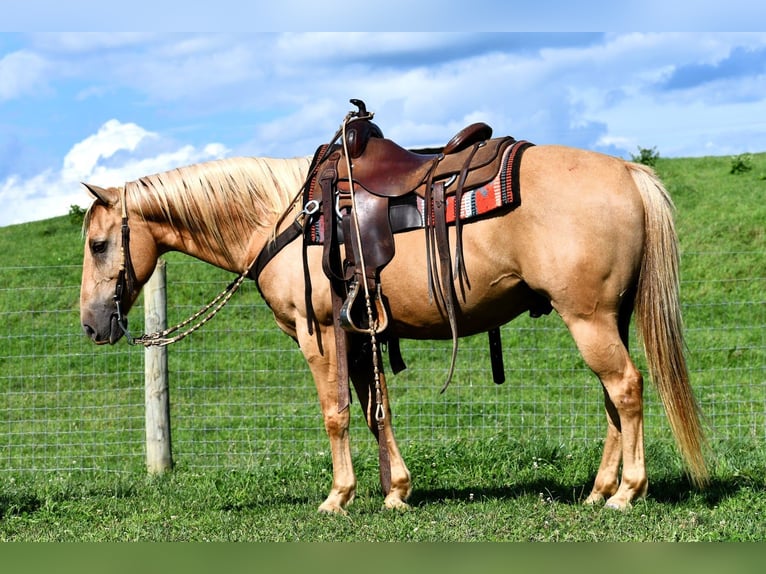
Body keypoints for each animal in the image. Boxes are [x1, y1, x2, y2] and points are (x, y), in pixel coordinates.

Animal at [81, 138, 712, 512]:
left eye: (98, 244)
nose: (91, 325)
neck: (281, 217)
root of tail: (628, 171)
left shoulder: (320, 332)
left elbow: (336, 414)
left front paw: (339, 497)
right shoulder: (361, 334)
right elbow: (373, 411)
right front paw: (395, 492)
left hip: (588, 319)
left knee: (625, 389)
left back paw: (626, 493)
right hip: (609, 317)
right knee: (613, 398)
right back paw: (600, 490)